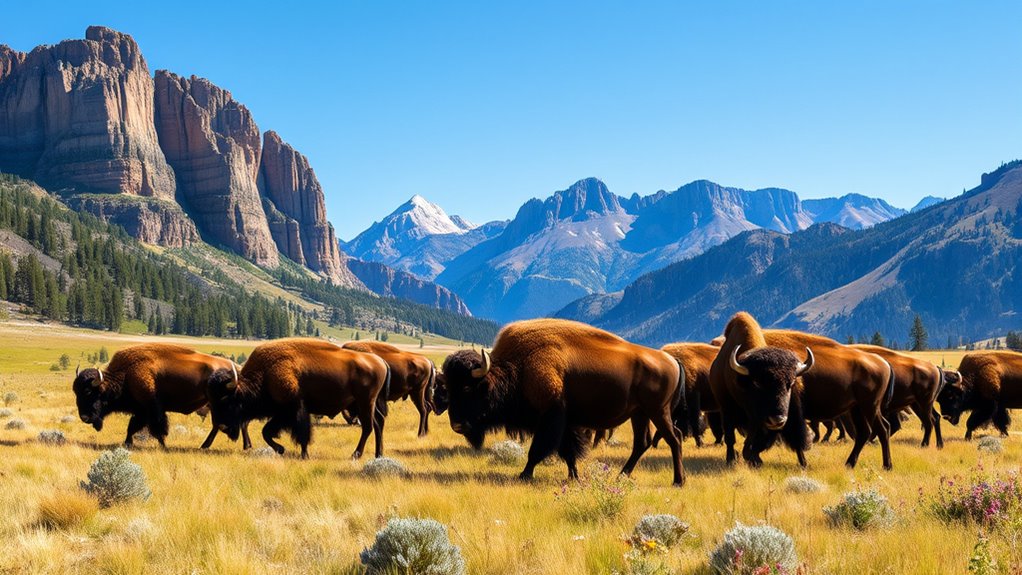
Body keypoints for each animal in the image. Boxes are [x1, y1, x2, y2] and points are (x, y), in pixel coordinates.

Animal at [71, 344, 251, 449]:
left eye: (88, 392)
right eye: (76, 392)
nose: (84, 417)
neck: (127, 373)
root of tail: (237, 368)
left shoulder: (151, 409)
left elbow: (157, 428)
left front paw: (163, 445)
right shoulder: (140, 411)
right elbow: (132, 427)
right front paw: (128, 443)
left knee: (223, 424)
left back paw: (209, 445)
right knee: (235, 423)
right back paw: (242, 446)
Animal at [206, 338, 391, 459]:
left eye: (226, 401)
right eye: (212, 401)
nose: (222, 426)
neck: (266, 373)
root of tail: (381, 361)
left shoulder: (294, 409)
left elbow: (301, 433)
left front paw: (302, 454)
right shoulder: (281, 413)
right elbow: (266, 431)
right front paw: (282, 450)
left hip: (365, 402)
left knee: (368, 427)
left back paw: (356, 454)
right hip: (367, 404)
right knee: (378, 423)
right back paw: (378, 454)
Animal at [438, 318, 686, 485]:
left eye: (468, 387)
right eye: (448, 389)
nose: (457, 425)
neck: (520, 367)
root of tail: (671, 360)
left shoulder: (551, 417)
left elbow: (538, 450)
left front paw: (524, 474)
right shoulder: (565, 423)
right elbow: (568, 452)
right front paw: (574, 476)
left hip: (657, 411)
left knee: (674, 439)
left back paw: (678, 481)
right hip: (640, 414)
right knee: (642, 443)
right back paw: (621, 476)